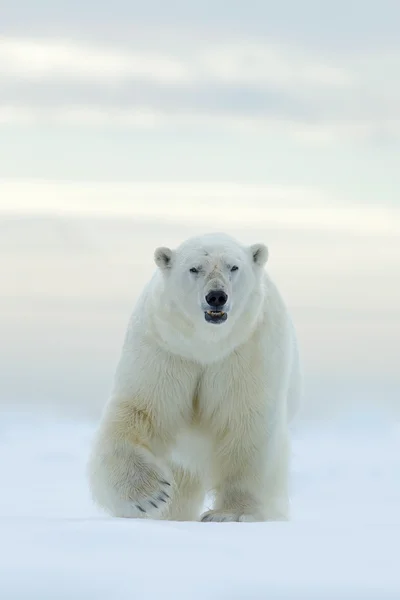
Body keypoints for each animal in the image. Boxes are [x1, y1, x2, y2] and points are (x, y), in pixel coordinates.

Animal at [86, 232, 300, 524]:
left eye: (234, 267)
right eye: (194, 268)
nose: (216, 296)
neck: (205, 346)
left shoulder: (247, 351)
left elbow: (246, 423)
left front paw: (231, 514)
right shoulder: (166, 349)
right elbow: (142, 409)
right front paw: (150, 495)